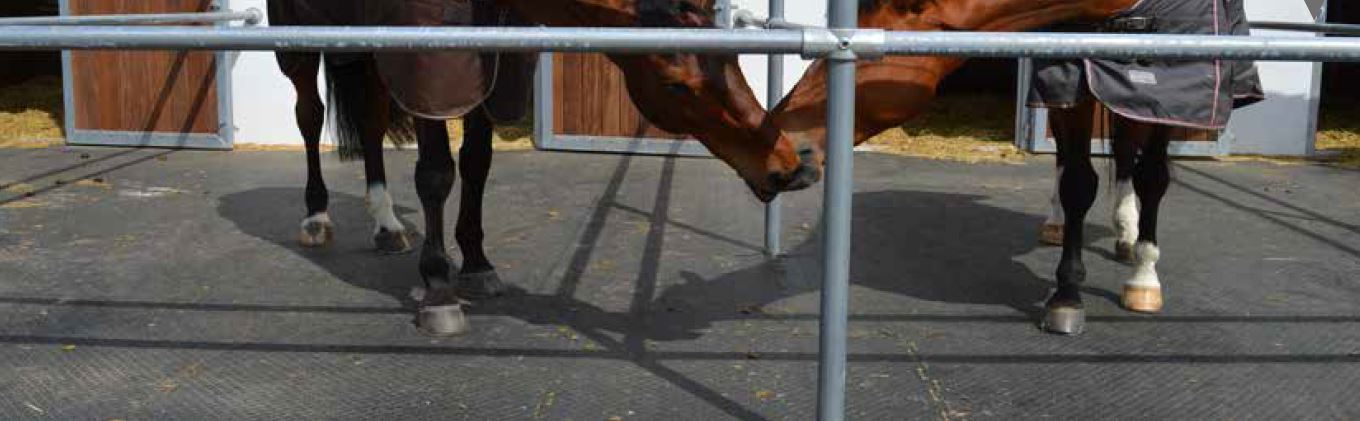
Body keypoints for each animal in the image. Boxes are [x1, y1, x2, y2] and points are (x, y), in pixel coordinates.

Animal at [269, 0, 810, 335]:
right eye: (675, 83)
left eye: (734, 58)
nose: (785, 166)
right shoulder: (431, 77)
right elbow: (437, 175)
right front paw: (440, 292)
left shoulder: (490, 71)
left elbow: (477, 164)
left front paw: (478, 265)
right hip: (299, 45)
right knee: (309, 116)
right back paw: (315, 218)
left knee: (370, 118)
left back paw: (385, 224)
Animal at [756, 0, 1262, 335]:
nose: (779, 141)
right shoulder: (1069, 74)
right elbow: (1078, 183)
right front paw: (1067, 295)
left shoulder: (1180, 87)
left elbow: (1152, 178)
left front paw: (1144, 276)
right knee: (1072, 162)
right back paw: (1061, 224)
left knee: (1125, 154)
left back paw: (1126, 235)